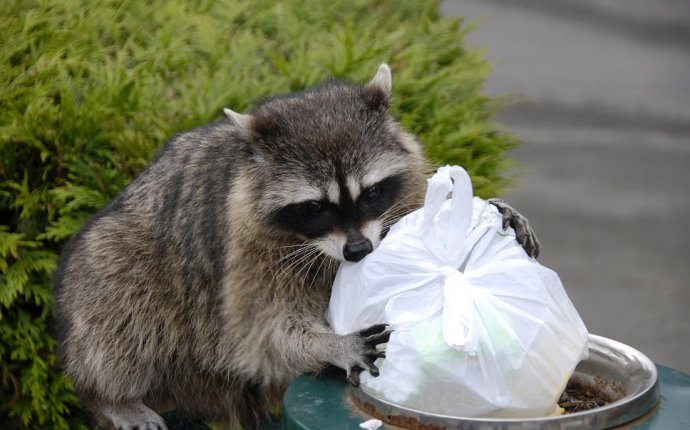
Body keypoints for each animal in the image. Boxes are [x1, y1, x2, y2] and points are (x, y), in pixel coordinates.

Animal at [52, 64, 536, 430]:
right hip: (117, 257)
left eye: (370, 193)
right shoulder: (245, 252)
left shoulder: (403, 190)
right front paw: (330, 344)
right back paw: (112, 396)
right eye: (316, 206)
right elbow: (260, 332)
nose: (358, 252)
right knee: (118, 301)